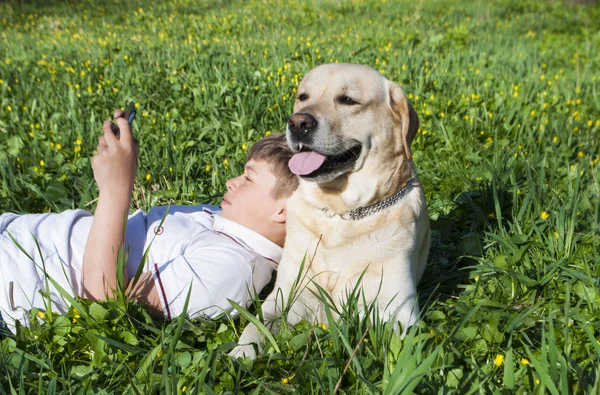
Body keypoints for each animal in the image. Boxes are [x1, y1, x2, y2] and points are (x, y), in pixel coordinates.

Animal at [230, 63, 432, 360]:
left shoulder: (397, 308)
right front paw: (240, 353)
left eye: (347, 100)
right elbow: (257, 326)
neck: (343, 213)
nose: (298, 122)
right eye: (303, 97)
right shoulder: (287, 292)